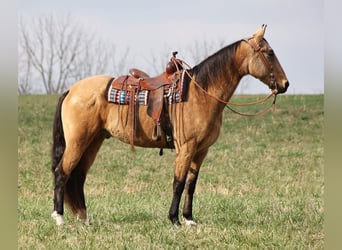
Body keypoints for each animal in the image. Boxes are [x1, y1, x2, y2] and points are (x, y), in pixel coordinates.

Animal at [50, 25, 288, 227]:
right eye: (269, 53)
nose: (285, 84)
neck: (200, 93)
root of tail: (71, 90)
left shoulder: (201, 151)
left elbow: (191, 184)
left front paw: (189, 219)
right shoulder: (186, 148)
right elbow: (179, 182)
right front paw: (174, 220)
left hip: (93, 142)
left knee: (78, 176)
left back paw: (85, 218)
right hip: (78, 142)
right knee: (62, 172)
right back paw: (60, 218)